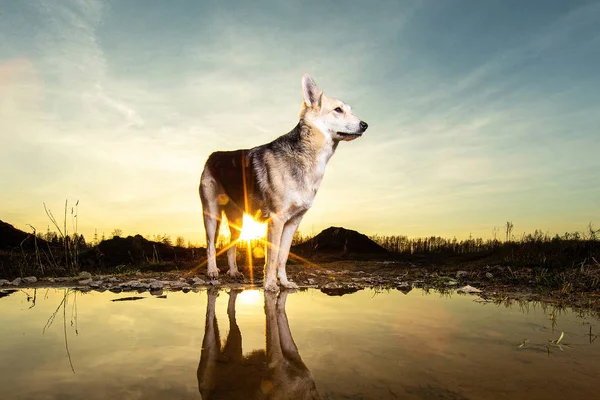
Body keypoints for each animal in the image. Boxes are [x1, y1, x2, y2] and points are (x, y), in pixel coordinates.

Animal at [200, 73, 366, 290]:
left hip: (238, 220)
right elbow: (271, 258)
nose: (365, 125)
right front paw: (270, 284)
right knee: (211, 245)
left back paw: (234, 272)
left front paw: (285, 282)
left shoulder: (292, 223)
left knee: (231, 245)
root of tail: (213, 155)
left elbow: (283, 257)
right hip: (212, 216)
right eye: (338, 110)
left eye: (350, 111)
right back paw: (212, 272)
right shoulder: (276, 220)